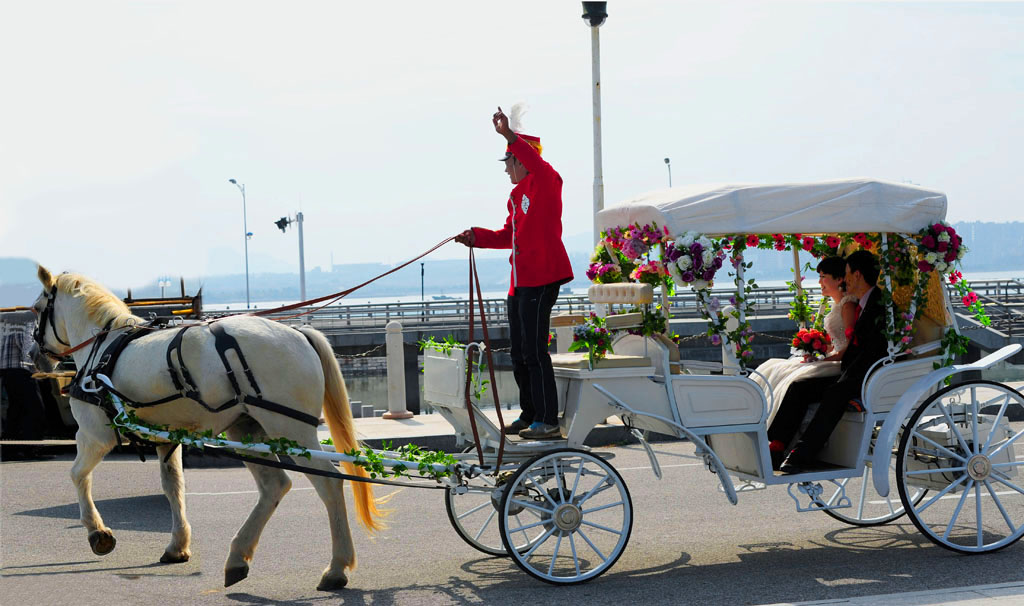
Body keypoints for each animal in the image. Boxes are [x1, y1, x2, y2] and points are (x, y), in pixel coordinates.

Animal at [32, 268, 385, 589]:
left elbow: (78, 475)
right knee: (274, 486)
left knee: (329, 484)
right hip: (248, 430)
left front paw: (97, 532)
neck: (103, 348)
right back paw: (238, 556)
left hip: (291, 428)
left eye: (36, 309)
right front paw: (178, 545)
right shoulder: (166, 438)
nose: (35, 355)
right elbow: (173, 487)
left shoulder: (94, 434)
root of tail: (299, 332)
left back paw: (336, 567)